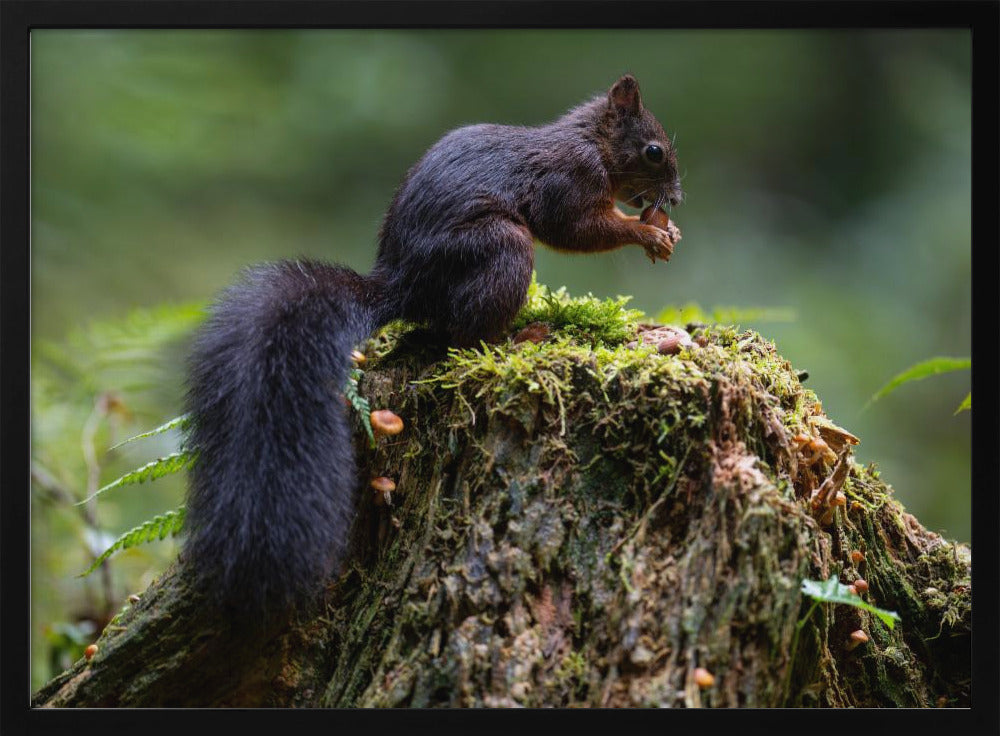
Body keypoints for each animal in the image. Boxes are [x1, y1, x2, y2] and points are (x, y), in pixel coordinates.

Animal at [182, 74, 683, 624]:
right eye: (654, 151)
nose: (677, 200)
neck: (592, 143)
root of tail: (401, 286)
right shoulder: (569, 181)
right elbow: (576, 229)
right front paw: (648, 232)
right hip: (501, 247)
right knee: (466, 336)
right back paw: (523, 336)